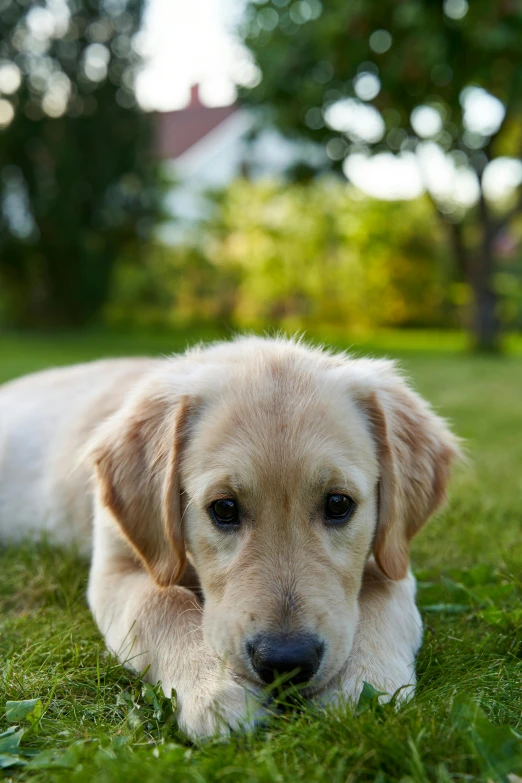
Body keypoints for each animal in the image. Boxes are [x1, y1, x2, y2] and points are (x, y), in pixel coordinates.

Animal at [0, 338, 458, 740]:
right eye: (223, 509)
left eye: (338, 504)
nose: (286, 662)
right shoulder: (116, 567)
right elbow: (161, 602)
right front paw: (217, 690)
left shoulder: (390, 556)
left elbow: (384, 595)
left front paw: (363, 685)